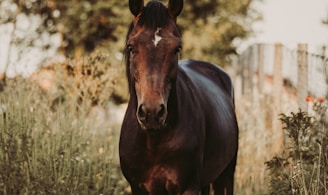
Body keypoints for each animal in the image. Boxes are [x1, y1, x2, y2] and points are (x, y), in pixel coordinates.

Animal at [119, 0, 240, 193]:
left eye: (177, 48)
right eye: (131, 47)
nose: (152, 113)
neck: (153, 141)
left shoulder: (188, 187)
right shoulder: (138, 188)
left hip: (226, 175)